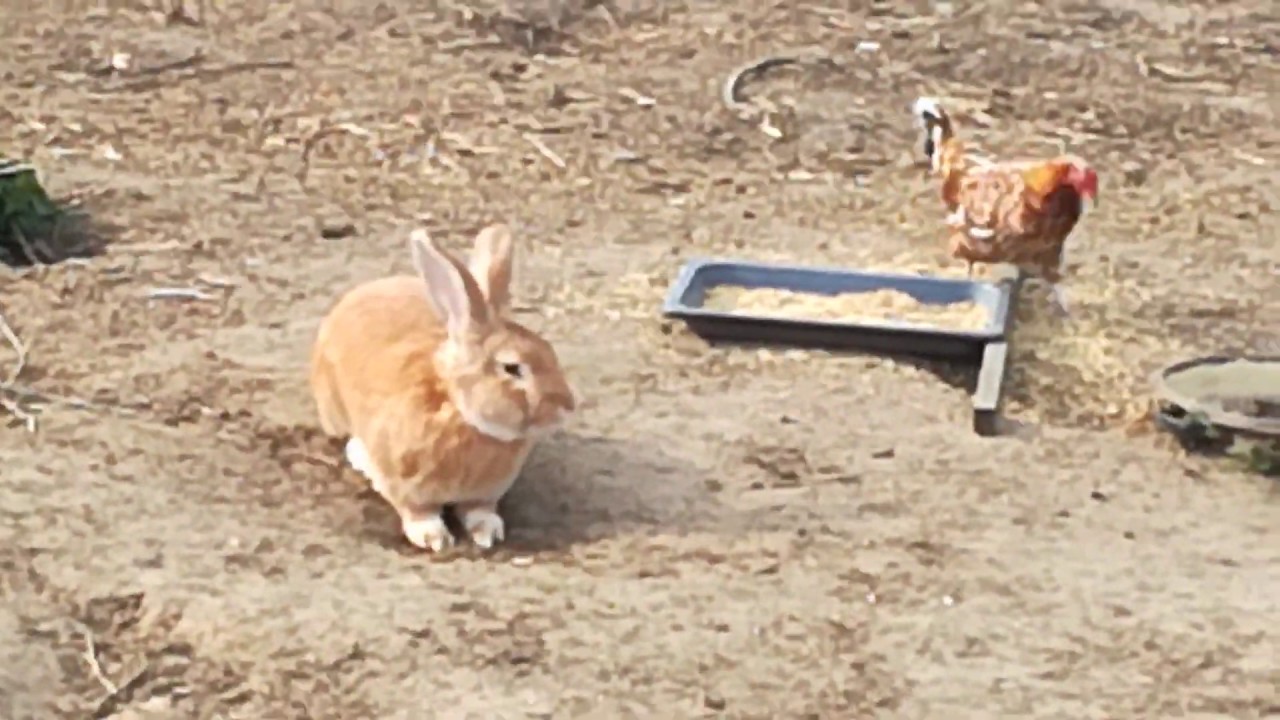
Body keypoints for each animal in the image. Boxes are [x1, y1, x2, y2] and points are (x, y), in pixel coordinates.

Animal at [309, 223, 577, 552]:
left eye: (550, 351)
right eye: (512, 368)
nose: (567, 406)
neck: (460, 412)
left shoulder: (484, 494)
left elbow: (480, 511)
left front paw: (488, 532)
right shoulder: (406, 487)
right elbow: (417, 512)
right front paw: (433, 538)